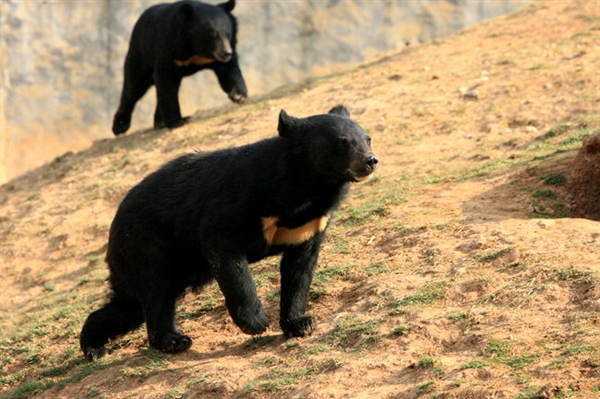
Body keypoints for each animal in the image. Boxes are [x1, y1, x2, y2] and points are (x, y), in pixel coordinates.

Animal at [81, 104, 378, 360]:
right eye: (341, 142)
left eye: (368, 139)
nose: (370, 161)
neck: (307, 189)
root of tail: (114, 224)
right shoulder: (239, 202)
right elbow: (229, 258)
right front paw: (256, 322)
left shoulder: (308, 225)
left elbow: (299, 269)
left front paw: (300, 324)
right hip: (145, 242)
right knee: (155, 289)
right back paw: (172, 340)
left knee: (130, 304)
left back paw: (93, 345)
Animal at [111, 0, 247, 136]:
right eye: (212, 36)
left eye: (228, 33)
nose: (226, 53)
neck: (196, 49)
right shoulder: (170, 46)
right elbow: (167, 80)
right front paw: (179, 121)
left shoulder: (220, 56)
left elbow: (229, 70)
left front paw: (239, 96)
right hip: (141, 52)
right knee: (134, 86)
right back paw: (120, 126)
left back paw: (159, 121)